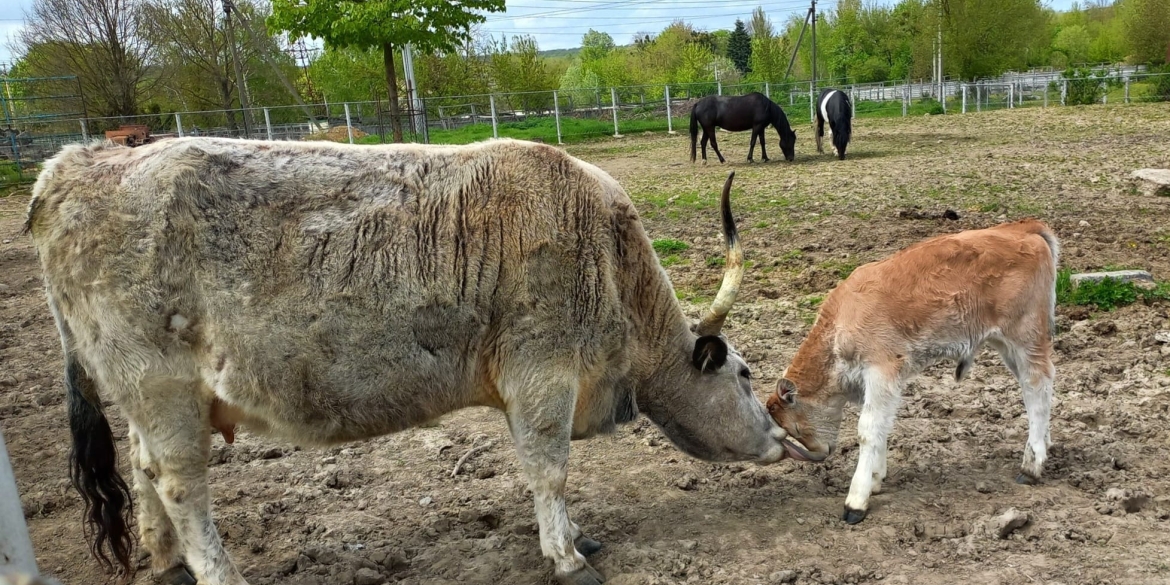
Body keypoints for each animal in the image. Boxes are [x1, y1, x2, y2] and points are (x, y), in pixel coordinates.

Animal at [25, 135, 786, 585]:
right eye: (747, 376)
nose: (784, 438)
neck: (606, 251)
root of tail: (74, 165)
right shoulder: (543, 375)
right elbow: (550, 469)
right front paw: (568, 556)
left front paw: (577, 537)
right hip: (162, 386)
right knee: (179, 482)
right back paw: (216, 571)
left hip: (147, 395)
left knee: (141, 467)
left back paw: (165, 561)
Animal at [767, 221, 1062, 524]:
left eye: (796, 427)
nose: (822, 453)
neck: (841, 320)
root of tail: (1022, 228)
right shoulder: (880, 383)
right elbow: (883, 424)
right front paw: (875, 479)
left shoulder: (881, 371)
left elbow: (868, 429)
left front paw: (856, 502)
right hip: (1006, 345)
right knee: (1033, 389)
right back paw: (1043, 446)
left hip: (1025, 336)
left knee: (1037, 382)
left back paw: (1031, 466)